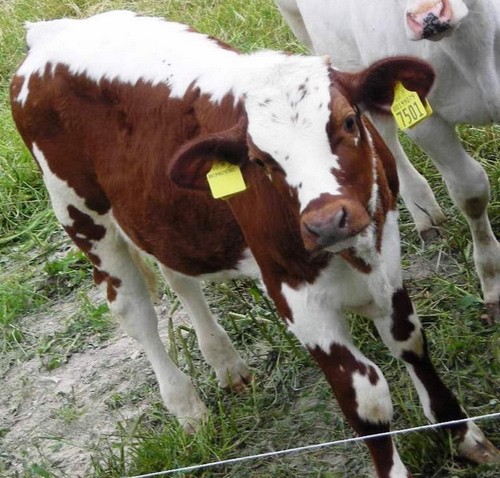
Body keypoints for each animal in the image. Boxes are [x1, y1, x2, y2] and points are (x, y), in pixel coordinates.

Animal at [275, 0, 500, 321]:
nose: (429, 16)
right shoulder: (426, 122)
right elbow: (470, 191)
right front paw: (493, 285)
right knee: (385, 137)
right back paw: (423, 214)